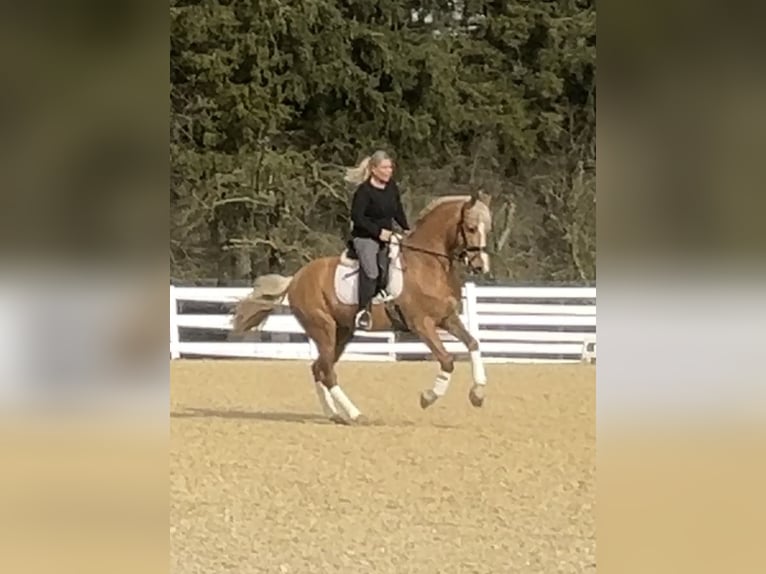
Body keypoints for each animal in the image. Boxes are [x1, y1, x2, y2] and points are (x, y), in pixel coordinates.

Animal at [231, 191, 494, 424]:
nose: (481, 266)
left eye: (487, 229)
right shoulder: (421, 324)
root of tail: (296, 278)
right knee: (327, 371)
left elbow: (473, 343)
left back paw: (334, 415)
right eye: (471, 228)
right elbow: (447, 360)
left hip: (342, 332)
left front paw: (478, 394)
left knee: (319, 368)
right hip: (323, 329)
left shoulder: (447, 318)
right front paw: (428, 397)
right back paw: (355, 414)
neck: (427, 263)